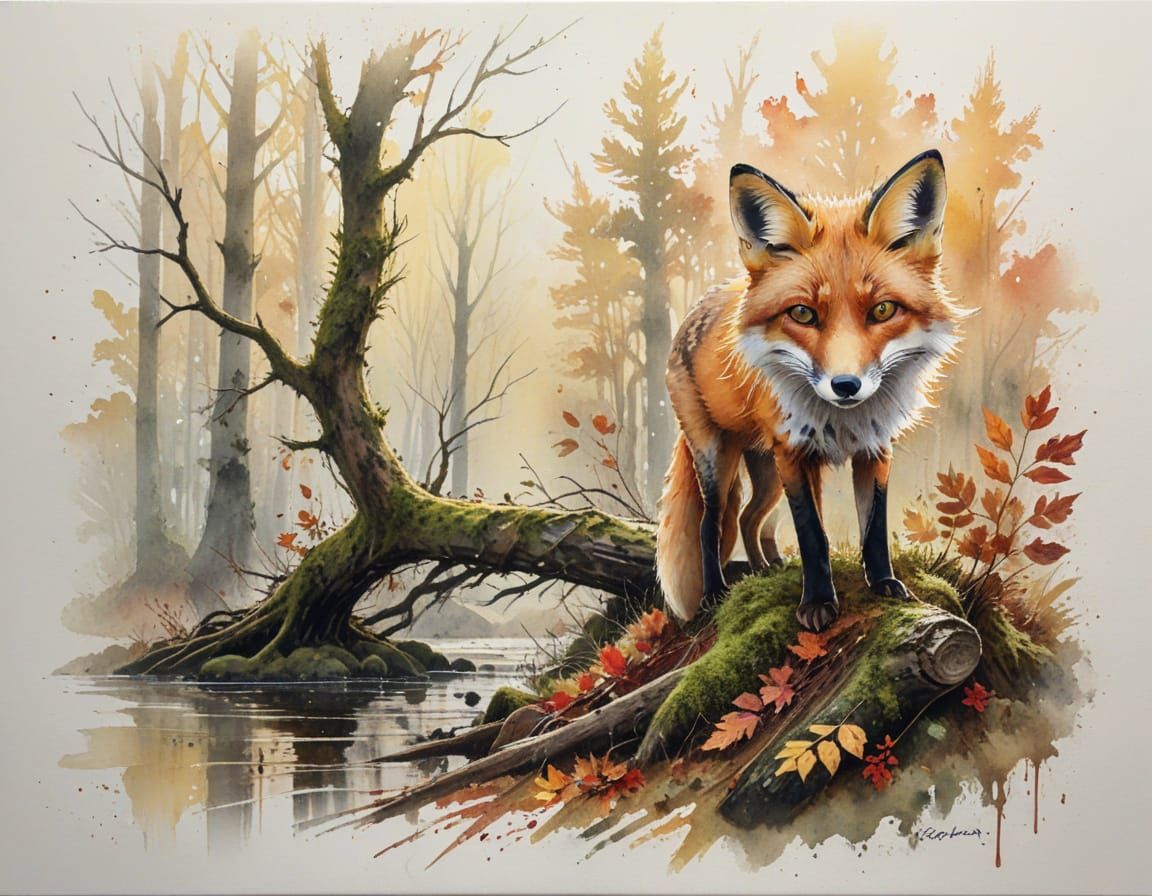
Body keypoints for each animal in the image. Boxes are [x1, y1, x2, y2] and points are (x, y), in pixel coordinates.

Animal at [656, 150, 964, 632]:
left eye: (883, 310)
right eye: (802, 313)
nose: (846, 385)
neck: (843, 420)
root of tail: (692, 314)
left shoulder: (874, 449)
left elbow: (872, 528)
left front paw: (883, 585)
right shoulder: (793, 452)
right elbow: (812, 534)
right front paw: (818, 603)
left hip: (766, 472)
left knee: (749, 518)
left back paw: (767, 570)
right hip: (718, 458)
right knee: (713, 521)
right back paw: (714, 595)